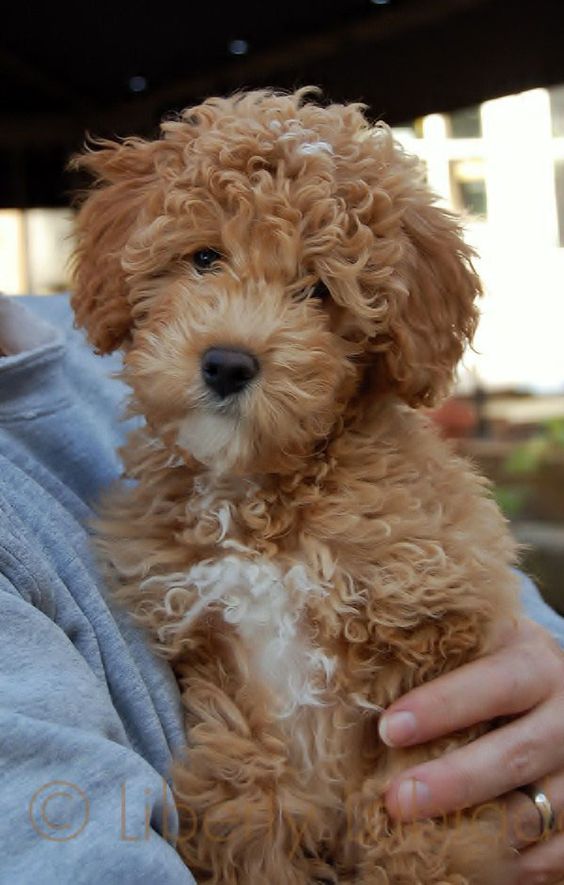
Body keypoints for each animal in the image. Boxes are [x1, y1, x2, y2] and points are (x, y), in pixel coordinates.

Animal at [70, 91, 520, 884]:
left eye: (319, 291)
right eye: (204, 257)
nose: (227, 362)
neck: (260, 500)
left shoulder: (436, 639)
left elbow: (418, 811)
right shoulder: (213, 656)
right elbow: (247, 793)